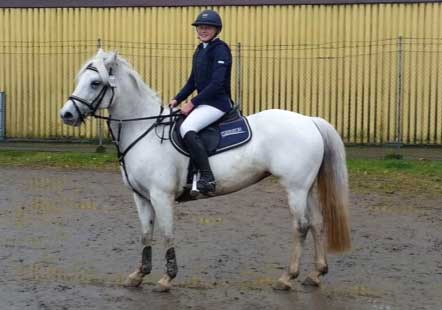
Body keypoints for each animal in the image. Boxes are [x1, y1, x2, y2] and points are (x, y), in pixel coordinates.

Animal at [58, 49, 350, 292]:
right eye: (80, 79)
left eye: (96, 83)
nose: (66, 115)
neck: (144, 130)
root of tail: (309, 120)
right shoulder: (141, 197)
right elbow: (145, 234)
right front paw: (138, 275)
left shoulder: (161, 196)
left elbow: (167, 233)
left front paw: (167, 279)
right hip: (306, 187)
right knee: (317, 222)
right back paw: (316, 274)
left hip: (295, 187)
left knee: (301, 226)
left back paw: (287, 278)